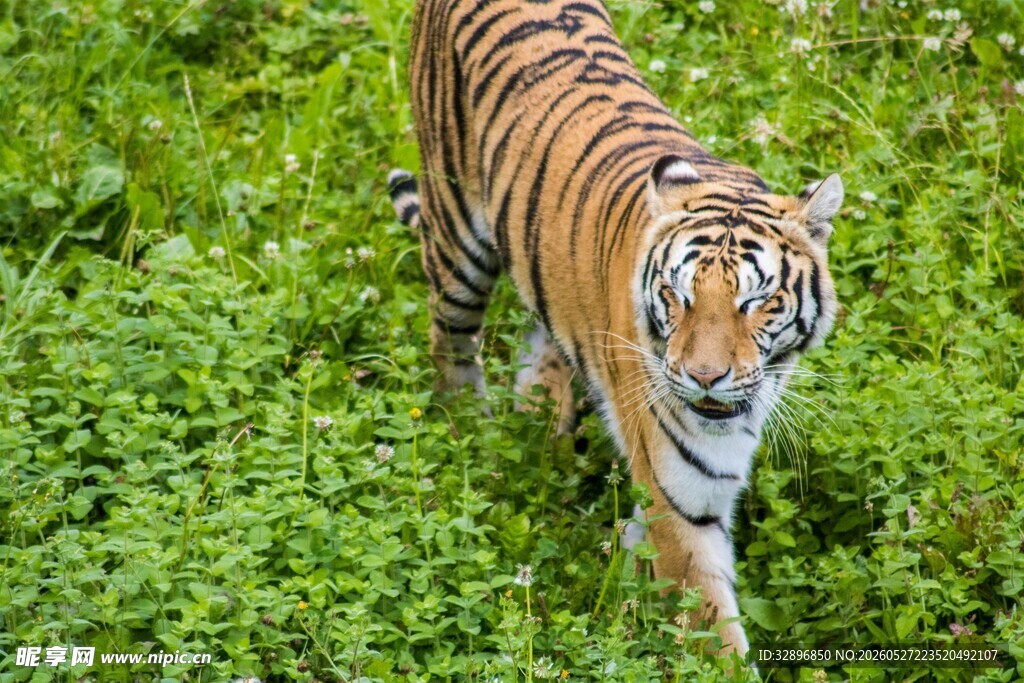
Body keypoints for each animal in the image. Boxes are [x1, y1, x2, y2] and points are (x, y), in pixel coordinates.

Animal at [387, 0, 841, 658]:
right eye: (677, 296)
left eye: (756, 302)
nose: (705, 378)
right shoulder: (681, 506)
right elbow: (714, 637)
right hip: (454, 232)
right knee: (449, 340)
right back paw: (473, 429)